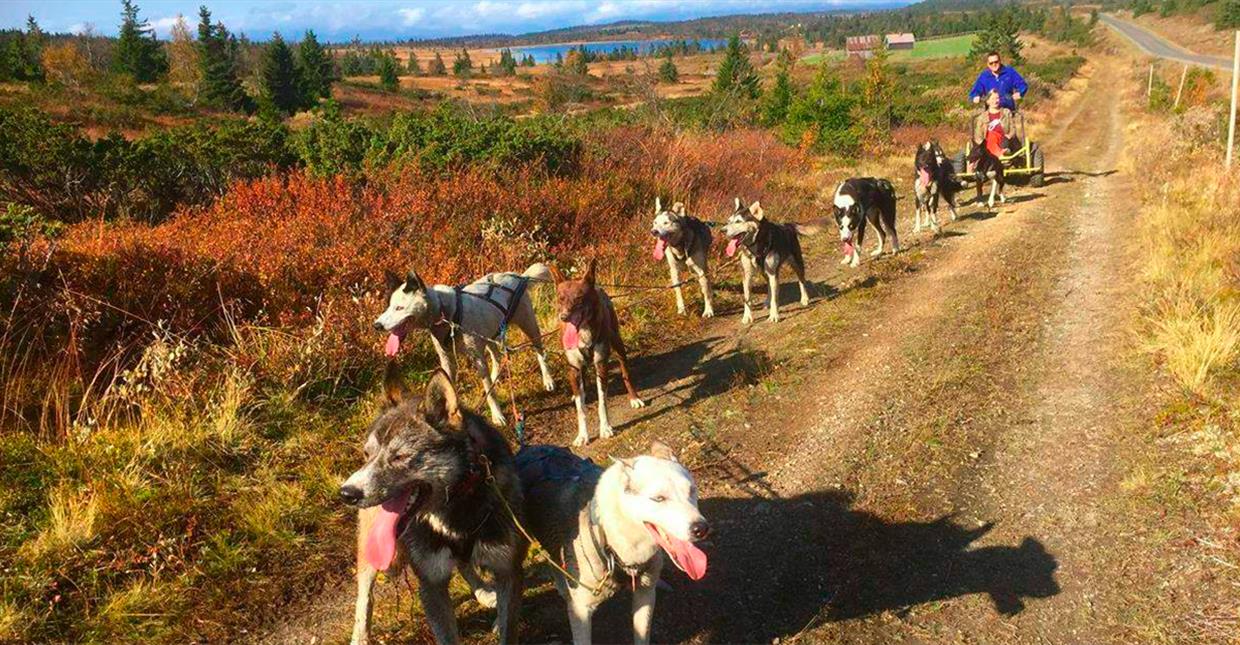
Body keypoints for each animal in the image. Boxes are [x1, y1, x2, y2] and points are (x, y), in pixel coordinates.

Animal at [553, 259, 649, 446]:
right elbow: (580, 407)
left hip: (618, 343)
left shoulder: (601, 364)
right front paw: (582, 435)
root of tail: (597, 286)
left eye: (578, 298)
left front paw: (605, 428)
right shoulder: (574, 369)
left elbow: (602, 401)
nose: (564, 317)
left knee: (625, 373)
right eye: (560, 298)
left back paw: (634, 397)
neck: (583, 333)